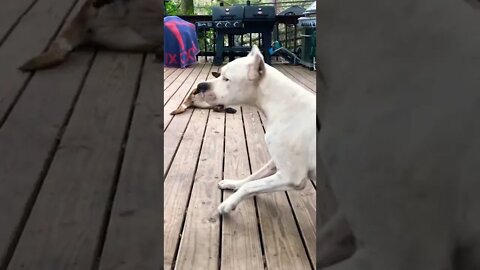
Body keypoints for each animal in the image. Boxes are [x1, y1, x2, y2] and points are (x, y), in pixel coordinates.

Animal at [197, 45, 316, 214]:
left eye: (226, 79)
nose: (200, 86)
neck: (283, 104)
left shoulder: (292, 177)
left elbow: (250, 186)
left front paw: (230, 203)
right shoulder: (276, 164)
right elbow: (254, 176)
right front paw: (235, 183)